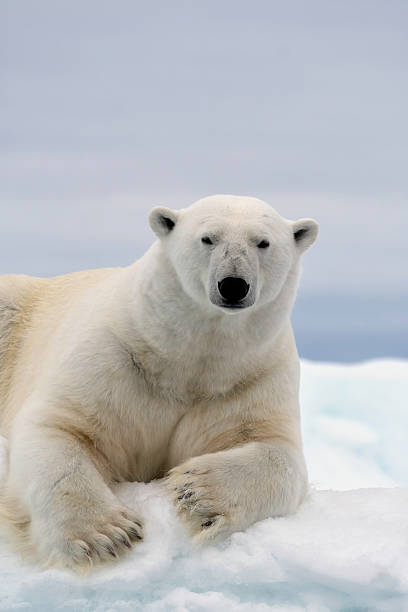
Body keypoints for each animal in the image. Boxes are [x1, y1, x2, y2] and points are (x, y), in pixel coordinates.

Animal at [0, 195, 318, 568]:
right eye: (208, 238)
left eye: (263, 242)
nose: (233, 284)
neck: (182, 359)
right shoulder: (112, 355)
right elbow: (59, 425)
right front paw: (105, 535)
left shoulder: (252, 376)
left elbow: (278, 451)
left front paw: (196, 493)